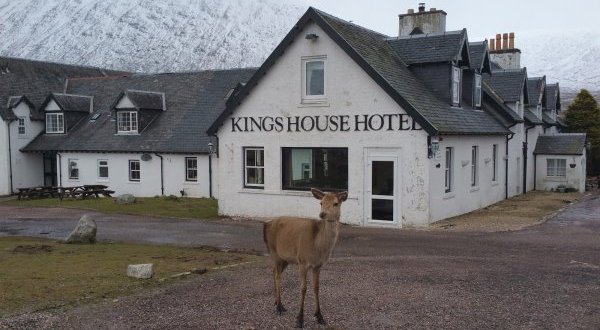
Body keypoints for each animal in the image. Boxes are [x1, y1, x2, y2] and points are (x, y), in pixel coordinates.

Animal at [262, 187, 346, 328]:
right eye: (321, 202)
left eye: (336, 203)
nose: (322, 214)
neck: (318, 247)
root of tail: (266, 224)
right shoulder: (302, 261)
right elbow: (303, 288)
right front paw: (300, 319)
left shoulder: (318, 265)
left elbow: (316, 287)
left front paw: (319, 316)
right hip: (274, 252)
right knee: (278, 276)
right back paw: (279, 307)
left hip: (285, 258)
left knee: (274, 272)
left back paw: (276, 302)